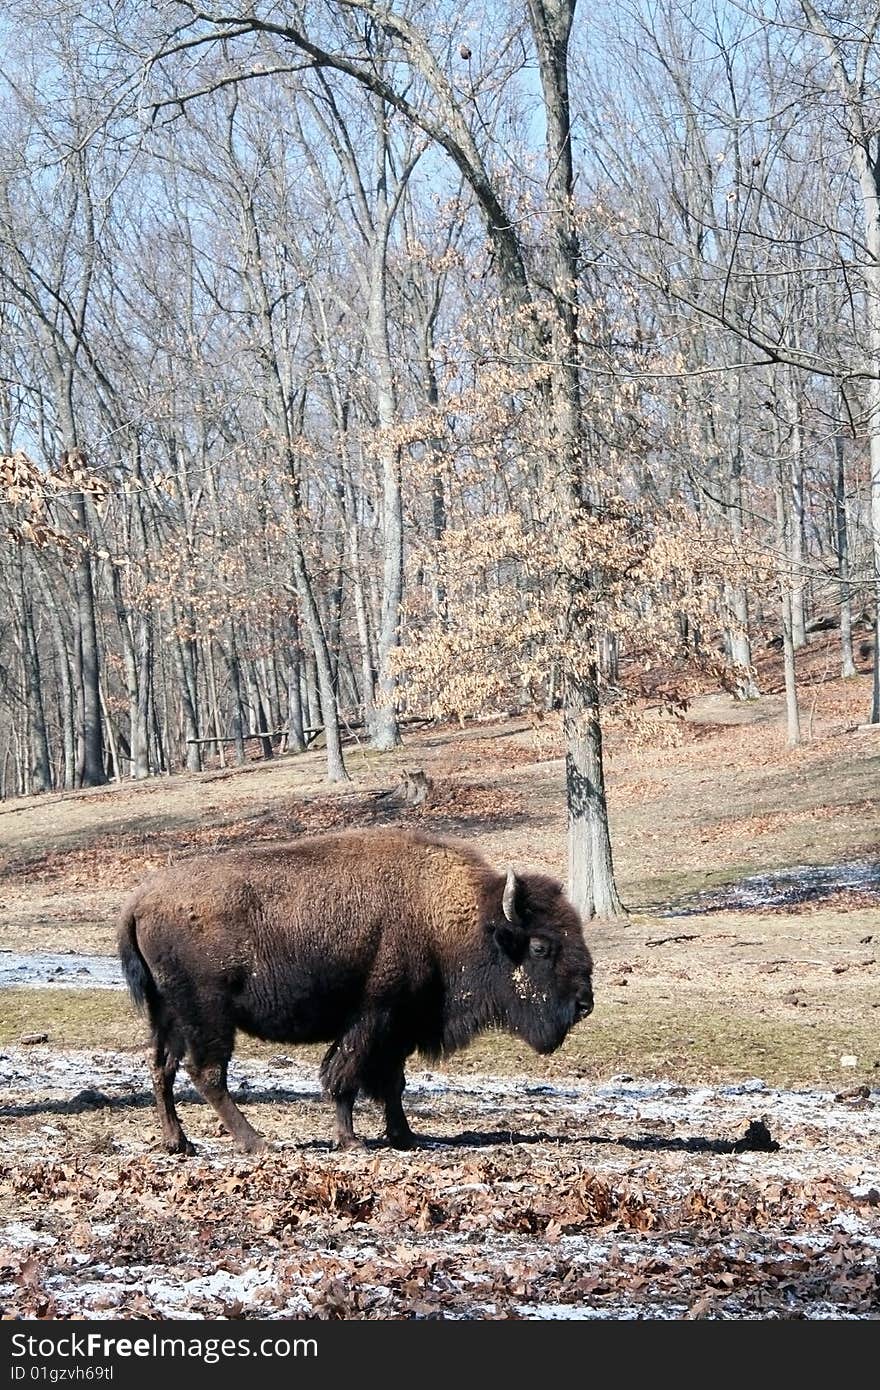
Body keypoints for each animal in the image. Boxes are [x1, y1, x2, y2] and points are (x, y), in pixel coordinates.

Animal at [116, 828, 595, 1156]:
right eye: (540, 946)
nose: (584, 1004)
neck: (448, 918)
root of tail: (139, 901)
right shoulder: (373, 1017)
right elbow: (344, 1076)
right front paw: (351, 1140)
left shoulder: (399, 1028)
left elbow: (391, 1083)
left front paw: (404, 1136)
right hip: (208, 1016)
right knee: (207, 1073)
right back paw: (256, 1142)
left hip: (168, 1015)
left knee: (162, 1068)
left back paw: (179, 1143)